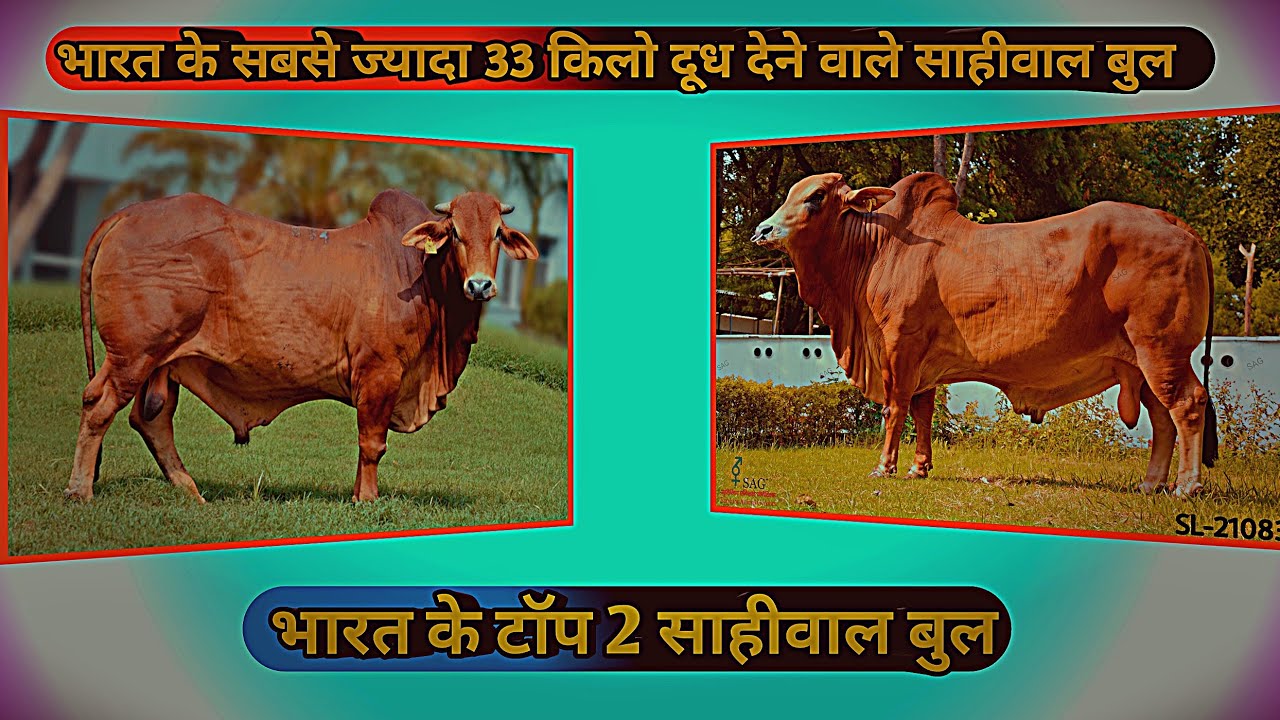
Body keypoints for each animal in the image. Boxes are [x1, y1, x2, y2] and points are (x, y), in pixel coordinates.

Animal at [65, 188, 539, 503]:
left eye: (498, 233)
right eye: (454, 232)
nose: (480, 285)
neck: (418, 272)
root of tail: (129, 213)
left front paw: (358, 495)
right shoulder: (380, 372)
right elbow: (373, 444)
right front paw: (367, 501)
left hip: (163, 361)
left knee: (151, 421)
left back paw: (190, 490)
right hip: (134, 355)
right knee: (98, 405)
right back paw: (80, 491)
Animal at [751, 171, 1218, 497]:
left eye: (816, 197)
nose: (762, 230)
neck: (875, 248)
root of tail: (1176, 222)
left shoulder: (900, 344)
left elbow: (895, 409)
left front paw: (885, 467)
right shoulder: (923, 363)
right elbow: (923, 411)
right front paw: (919, 468)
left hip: (1161, 350)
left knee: (1188, 405)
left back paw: (1185, 487)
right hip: (1142, 362)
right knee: (1163, 418)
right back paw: (1151, 484)